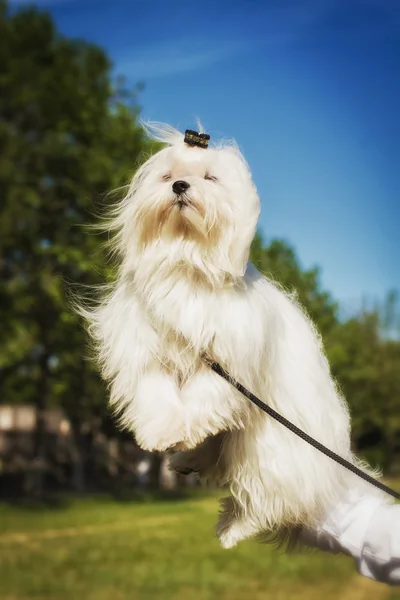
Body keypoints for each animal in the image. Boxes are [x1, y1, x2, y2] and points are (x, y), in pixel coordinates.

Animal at [83, 120, 380, 548]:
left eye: (209, 178)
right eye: (167, 176)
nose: (180, 186)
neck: (186, 260)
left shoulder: (226, 359)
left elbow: (204, 393)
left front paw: (184, 427)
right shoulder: (148, 351)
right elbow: (157, 395)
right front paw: (162, 433)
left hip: (268, 452)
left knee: (262, 502)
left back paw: (231, 529)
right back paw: (188, 461)